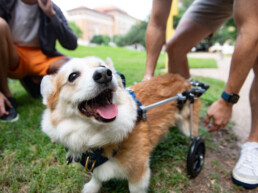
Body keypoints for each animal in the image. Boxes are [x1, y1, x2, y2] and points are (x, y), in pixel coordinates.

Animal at [40, 56, 202, 192]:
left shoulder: (139, 174)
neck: (95, 136)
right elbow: (96, 177)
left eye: (104, 67)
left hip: (187, 123)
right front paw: (92, 187)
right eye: (72, 76)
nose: (105, 74)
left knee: (195, 139)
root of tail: (184, 79)